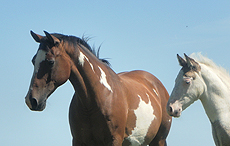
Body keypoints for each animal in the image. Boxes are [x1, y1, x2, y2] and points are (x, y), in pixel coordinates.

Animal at [25, 30, 172, 145]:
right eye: (33, 61)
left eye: (50, 61)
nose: (31, 100)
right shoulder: (79, 141)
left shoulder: (114, 140)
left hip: (159, 140)